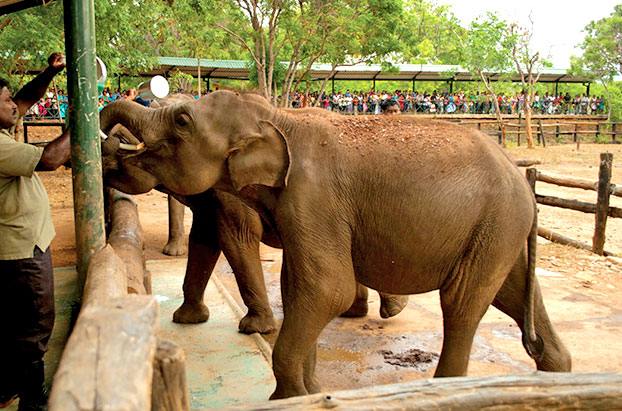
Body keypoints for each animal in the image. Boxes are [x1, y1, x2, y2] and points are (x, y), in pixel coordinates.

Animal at [100, 89, 572, 400]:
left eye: (181, 121)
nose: (107, 134)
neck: (278, 117)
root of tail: (523, 177)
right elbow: (298, 287)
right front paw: (309, 393)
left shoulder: (313, 198)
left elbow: (328, 288)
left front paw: (287, 398)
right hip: (498, 229)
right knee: (513, 291)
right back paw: (558, 376)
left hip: (495, 223)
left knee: (461, 300)